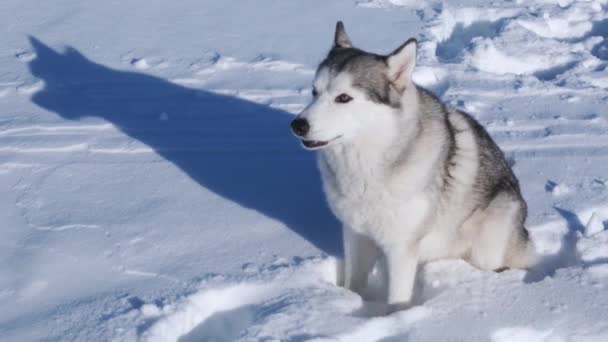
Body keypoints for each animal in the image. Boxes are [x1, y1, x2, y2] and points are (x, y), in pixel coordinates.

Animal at [292, 20, 536, 310]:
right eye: (314, 92)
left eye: (343, 98)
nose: (297, 125)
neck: (367, 165)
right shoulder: (355, 234)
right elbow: (355, 284)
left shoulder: (401, 247)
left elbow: (398, 298)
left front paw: (395, 316)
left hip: (492, 232)